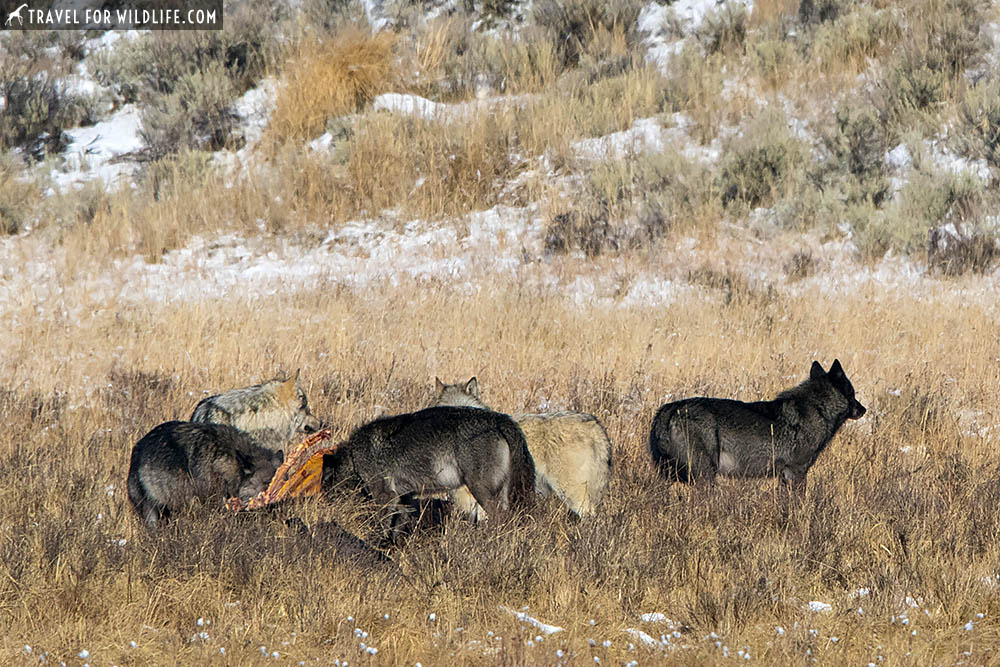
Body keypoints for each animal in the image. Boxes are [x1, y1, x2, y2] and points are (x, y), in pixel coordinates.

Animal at [324, 408, 536, 544]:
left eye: (326, 482)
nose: (325, 504)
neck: (354, 455)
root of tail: (502, 419)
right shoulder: (405, 499)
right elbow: (396, 529)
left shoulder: (385, 496)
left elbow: (380, 526)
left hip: (481, 492)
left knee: (501, 520)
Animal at [648, 360, 868, 490]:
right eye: (853, 394)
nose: (864, 409)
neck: (818, 408)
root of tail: (668, 409)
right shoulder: (796, 473)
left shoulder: (784, 477)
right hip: (705, 477)